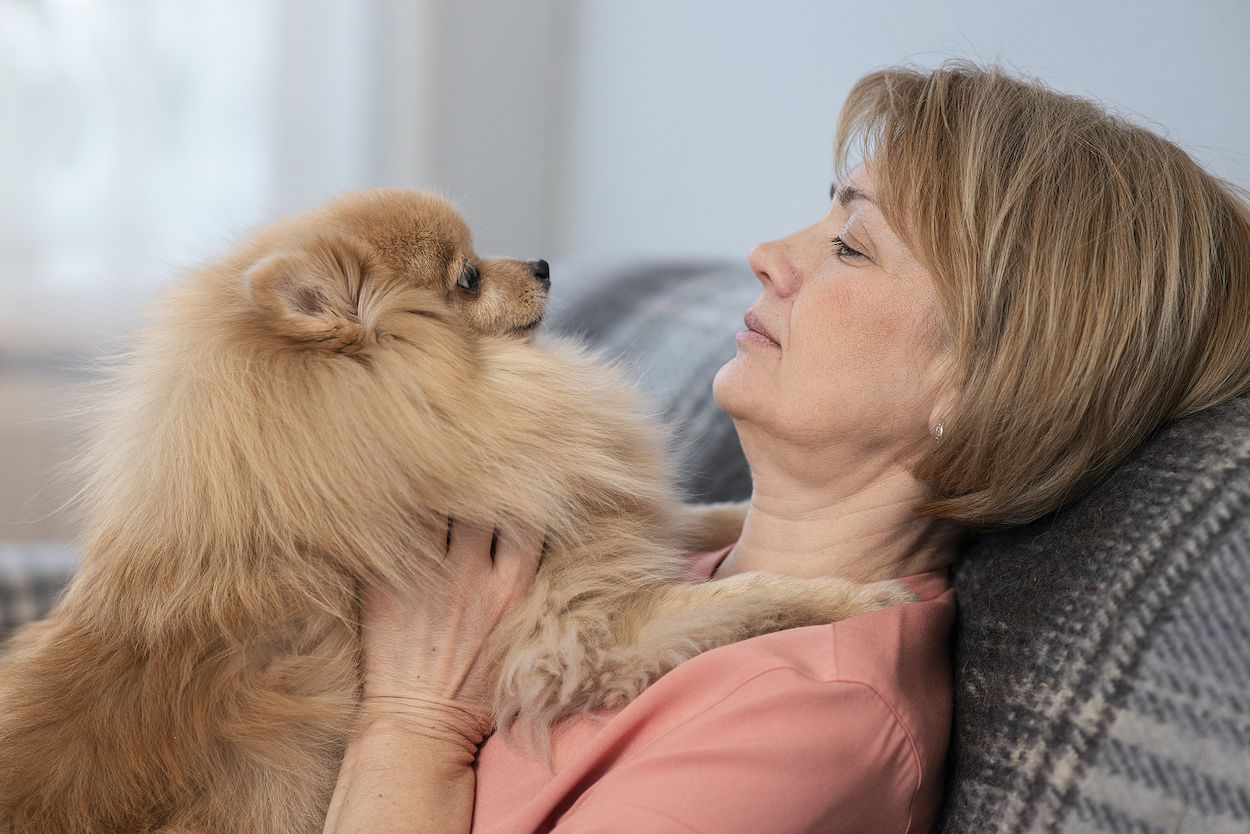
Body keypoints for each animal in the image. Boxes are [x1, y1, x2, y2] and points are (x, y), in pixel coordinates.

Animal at [2, 191, 920, 834]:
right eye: (469, 277)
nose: (546, 263)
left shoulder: (579, 518)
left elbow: (685, 519)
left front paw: (736, 515)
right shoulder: (573, 635)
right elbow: (743, 593)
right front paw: (853, 597)